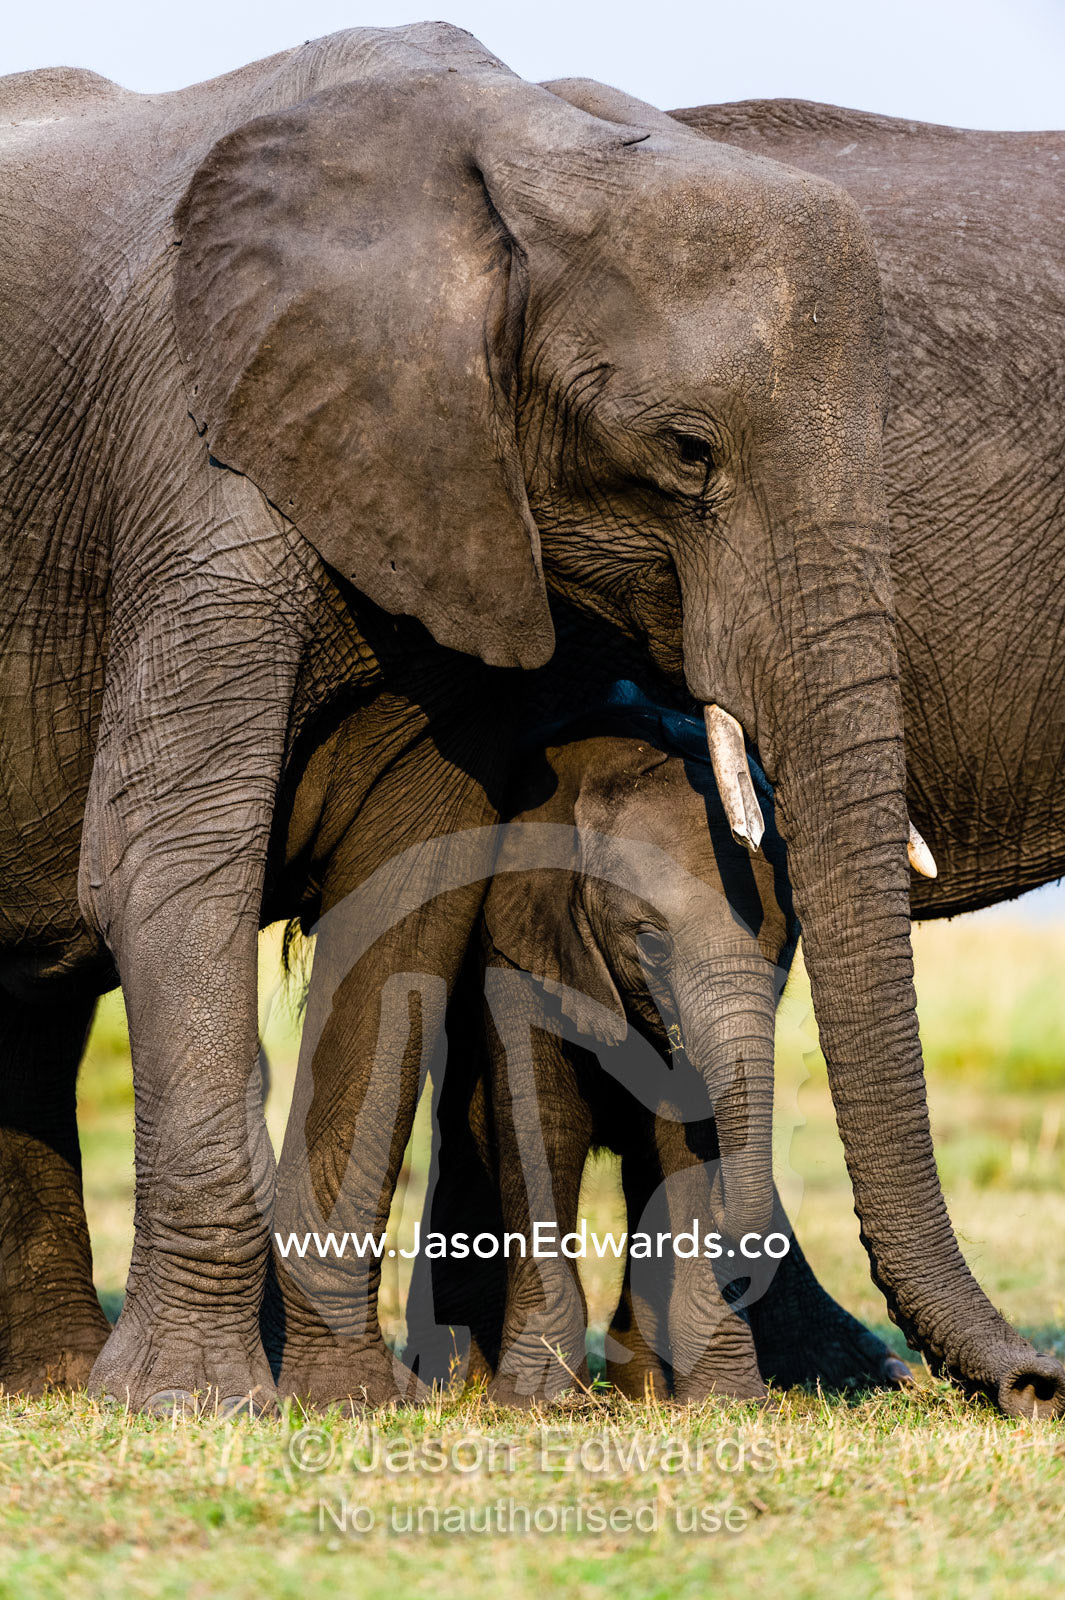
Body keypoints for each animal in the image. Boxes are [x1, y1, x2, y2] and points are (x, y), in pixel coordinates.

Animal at [0, 22, 1056, 1414]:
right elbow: (168, 861)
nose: (1034, 1385)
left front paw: (349, 1403)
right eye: (686, 452)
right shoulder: (197, 452)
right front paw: (193, 1404)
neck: (532, 147)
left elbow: (406, 887)